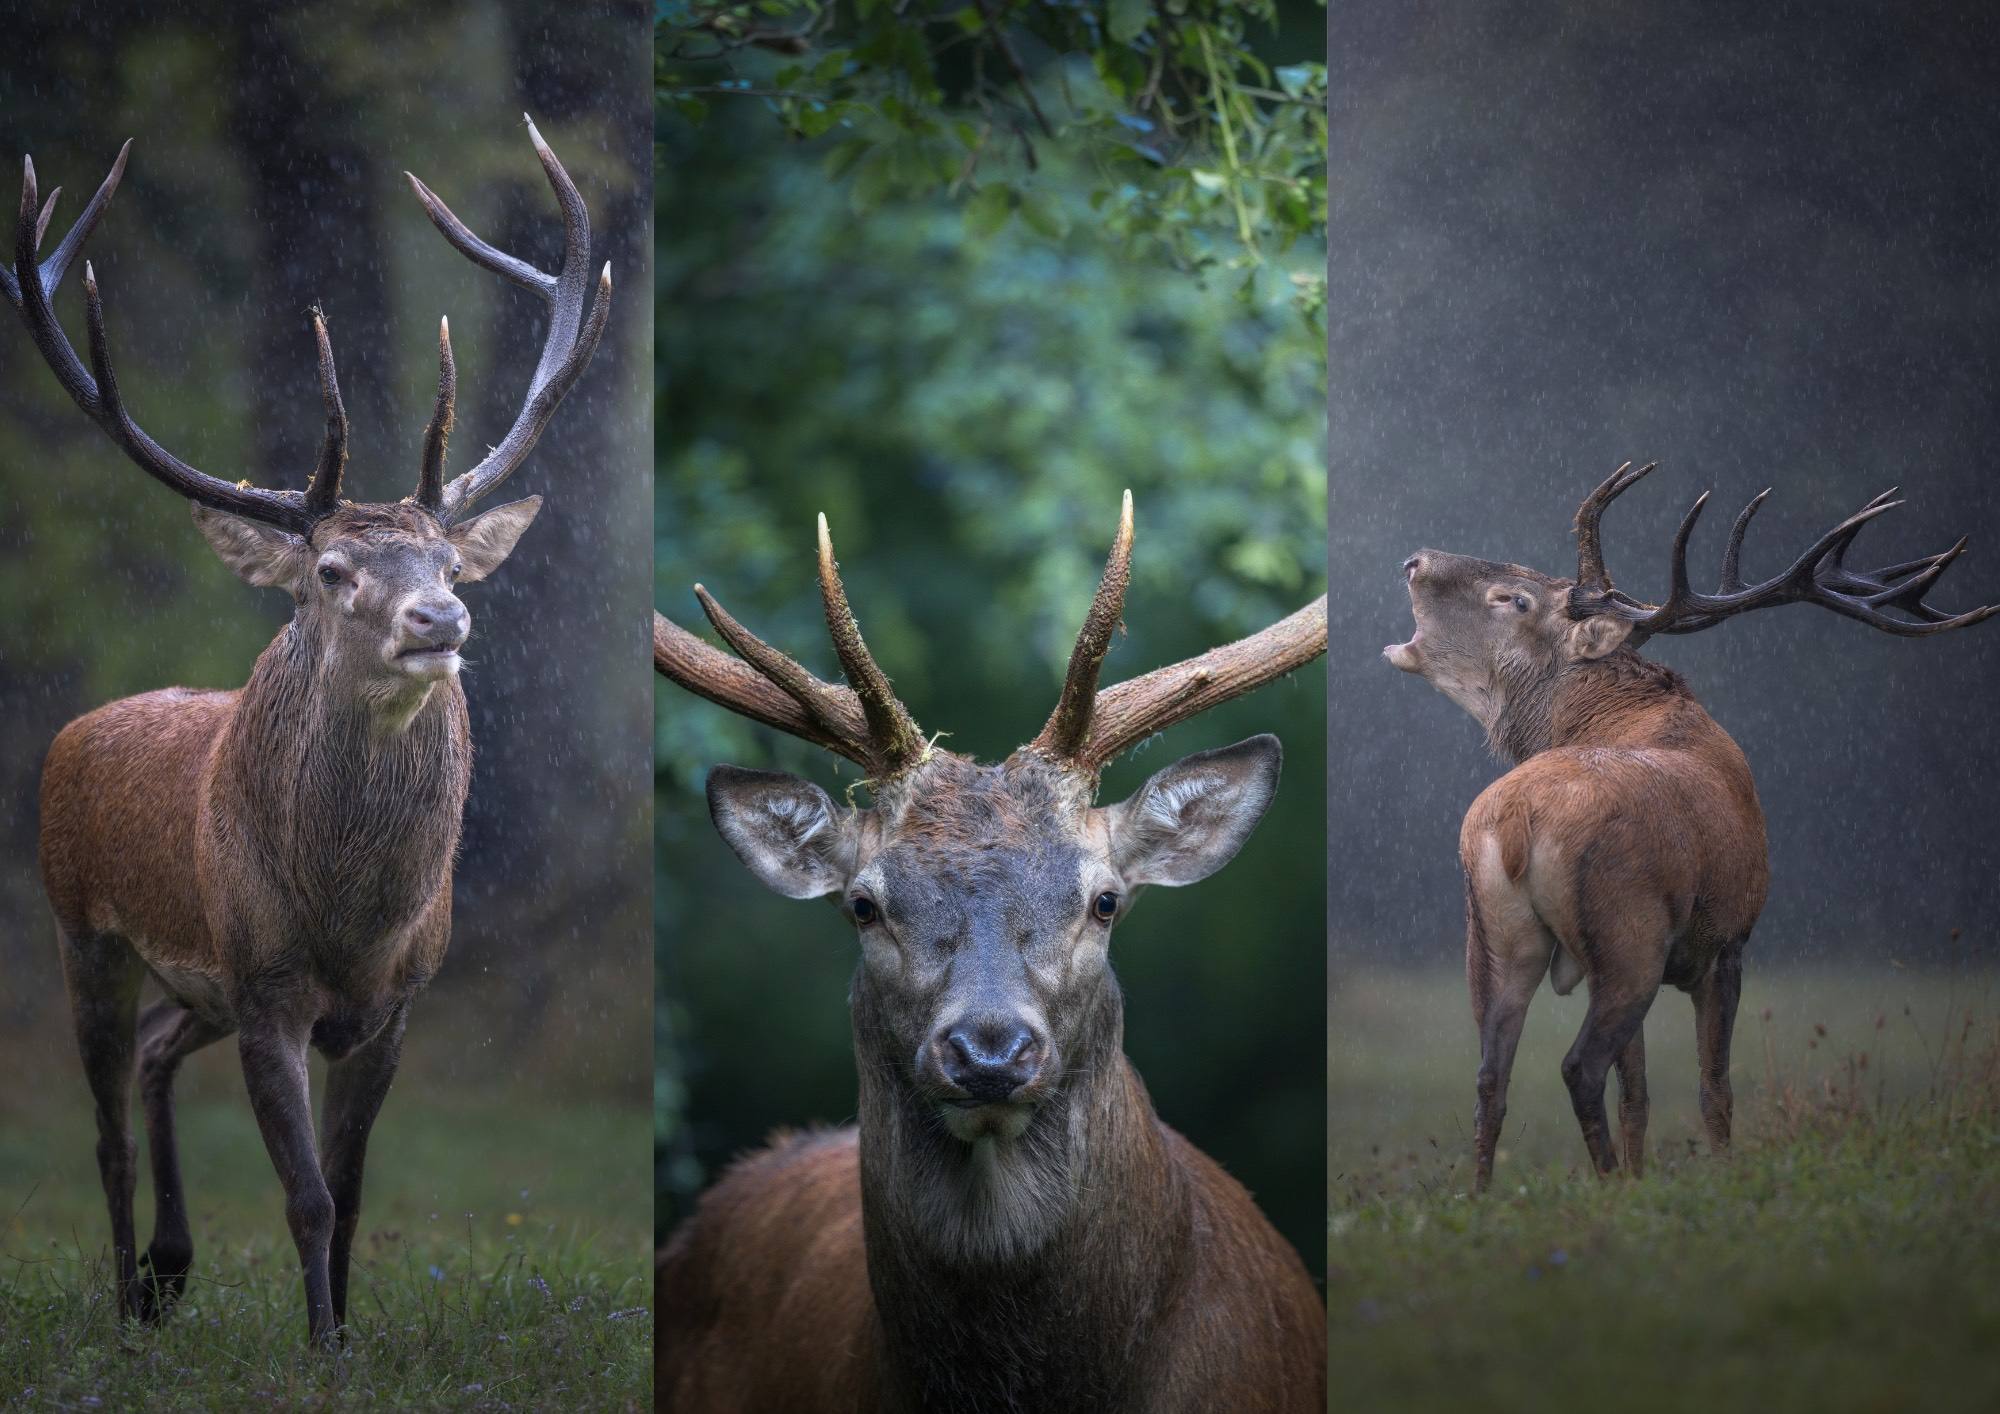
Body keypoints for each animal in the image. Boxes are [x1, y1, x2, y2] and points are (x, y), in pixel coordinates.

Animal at [5, 121, 611, 1344]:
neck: (346, 920)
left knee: (156, 1052)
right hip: (81, 928)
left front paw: (343, 1331)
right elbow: (307, 1194)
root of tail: (77, 731)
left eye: (445, 561)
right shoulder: (267, 981)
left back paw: (170, 1270)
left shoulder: (395, 998)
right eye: (331, 570)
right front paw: (322, 1348)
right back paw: (123, 1302)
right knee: (103, 1125)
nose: (441, 619)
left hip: (196, 986)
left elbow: (354, 1183)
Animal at [1384, 462, 1996, 1192]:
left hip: (1497, 936)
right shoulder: (1728, 938)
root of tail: (1515, 824)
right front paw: (1721, 1175)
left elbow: (1641, 1094)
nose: (1414, 560)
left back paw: (1488, 1196)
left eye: (1516, 597)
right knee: (1578, 1066)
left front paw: (1646, 1173)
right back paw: (1607, 1189)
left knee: (1490, 1077)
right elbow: (1714, 1087)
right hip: (1630, 936)